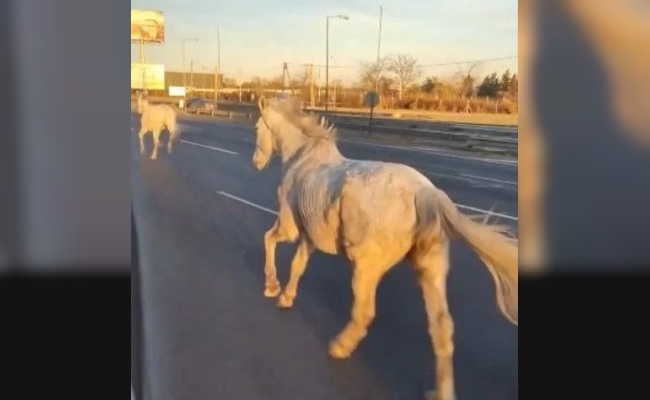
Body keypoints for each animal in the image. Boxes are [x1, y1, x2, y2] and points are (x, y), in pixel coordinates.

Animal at [249, 96, 516, 400]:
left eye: (257, 127)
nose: (256, 162)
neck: (303, 158)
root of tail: (425, 192)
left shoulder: (291, 228)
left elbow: (269, 240)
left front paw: (272, 287)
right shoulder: (309, 236)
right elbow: (297, 265)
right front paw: (286, 297)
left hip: (366, 267)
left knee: (365, 312)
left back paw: (339, 346)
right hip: (430, 268)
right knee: (442, 328)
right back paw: (441, 392)